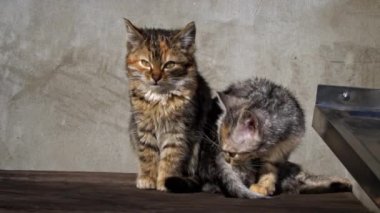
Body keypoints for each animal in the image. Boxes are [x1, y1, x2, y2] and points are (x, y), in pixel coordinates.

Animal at [125, 19, 214, 191]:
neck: (159, 99)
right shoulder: (143, 127)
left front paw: (165, 180)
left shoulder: (178, 129)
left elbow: (171, 157)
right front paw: (148, 178)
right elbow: (148, 154)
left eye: (169, 64)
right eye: (145, 63)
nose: (156, 77)